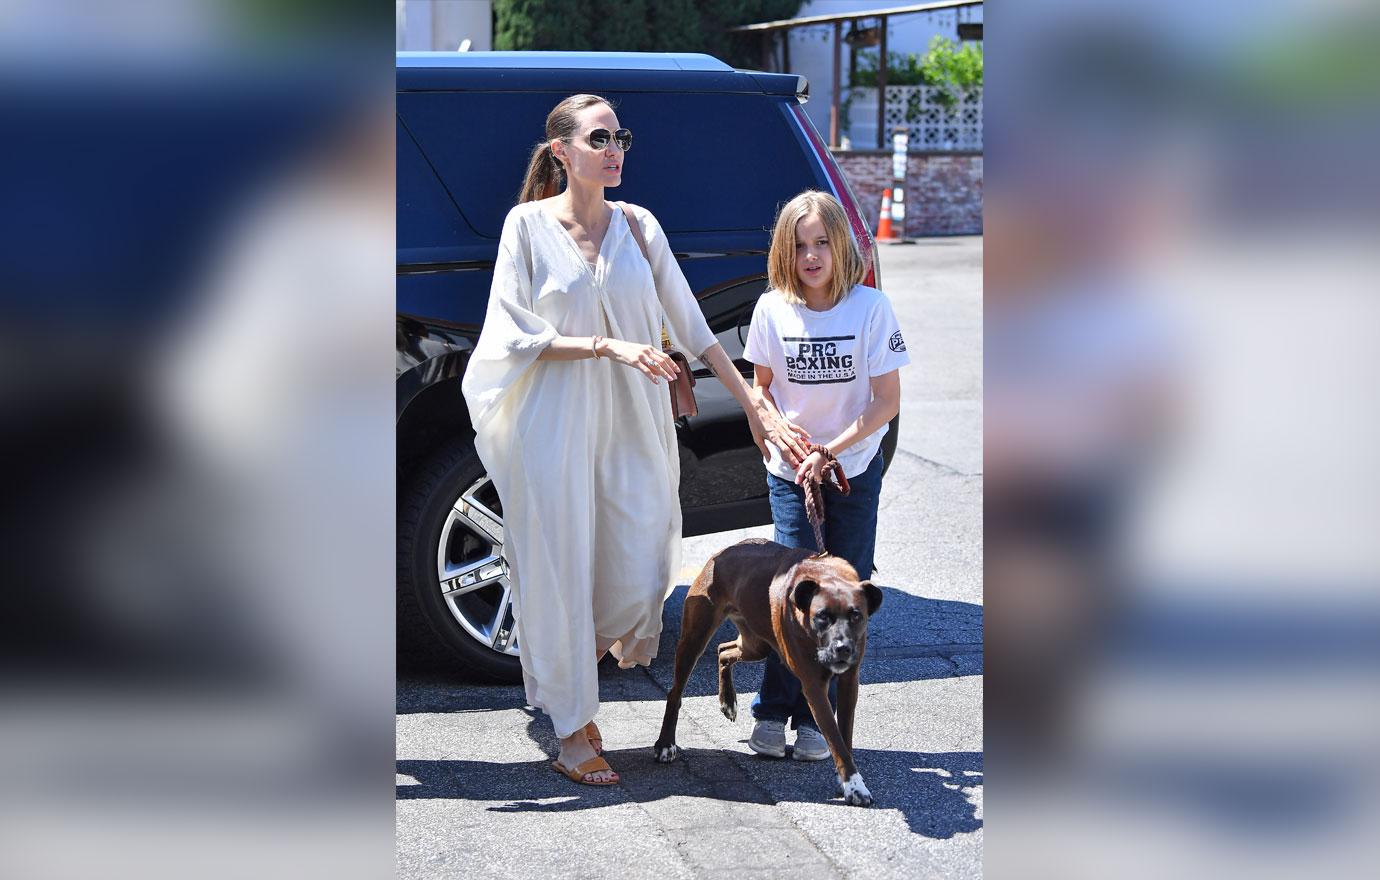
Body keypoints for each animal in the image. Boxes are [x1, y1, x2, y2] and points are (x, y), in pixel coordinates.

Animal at [648, 537, 883, 805]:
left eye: (856, 615)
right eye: (822, 616)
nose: (842, 648)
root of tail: (726, 551)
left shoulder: (849, 683)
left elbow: (845, 736)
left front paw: (846, 781)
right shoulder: (814, 687)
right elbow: (835, 738)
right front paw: (854, 786)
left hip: (755, 645)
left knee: (723, 650)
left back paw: (728, 701)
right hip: (695, 637)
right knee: (675, 692)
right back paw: (666, 744)